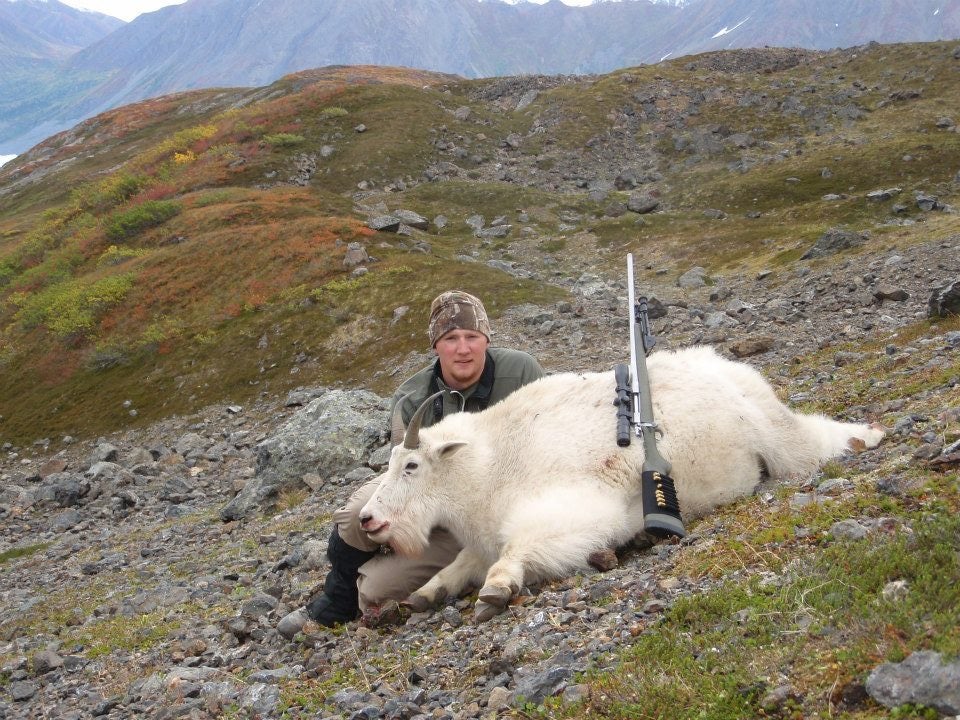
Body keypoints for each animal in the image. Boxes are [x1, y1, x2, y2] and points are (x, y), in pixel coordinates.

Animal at [359, 345, 884, 621]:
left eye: (411, 466)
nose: (367, 519)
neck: (490, 463)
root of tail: (736, 371)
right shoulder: (481, 536)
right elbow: (457, 566)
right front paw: (425, 594)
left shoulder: (578, 510)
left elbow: (517, 550)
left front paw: (497, 589)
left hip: (781, 440)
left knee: (811, 443)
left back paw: (869, 434)